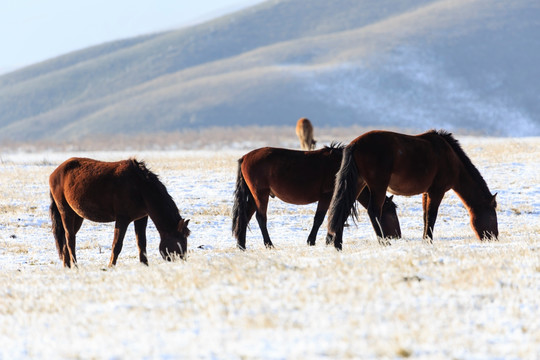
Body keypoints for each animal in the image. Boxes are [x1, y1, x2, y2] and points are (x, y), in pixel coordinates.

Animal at [48, 158, 191, 268]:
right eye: (181, 239)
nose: (183, 260)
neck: (140, 187)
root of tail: (55, 173)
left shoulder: (141, 218)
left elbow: (141, 243)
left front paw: (145, 265)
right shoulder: (123, 219)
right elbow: (117, 244)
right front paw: (111, 266)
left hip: (77, 215)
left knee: (66, 241)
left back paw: (67, 266)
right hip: (66, 211)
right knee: (70, 239)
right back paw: (76, 266)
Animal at [231, 142, 400, 249]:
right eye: (391, 212)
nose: (397, 236)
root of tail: (245, 157)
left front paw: (328, 240)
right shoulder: (326, 196)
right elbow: (319, 218)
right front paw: (313, 241)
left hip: (254, 196)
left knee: (245, 216)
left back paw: (241, 245)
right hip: (261, 194)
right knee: (261, 218)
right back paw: (268, 244)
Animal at [324, 129, 498, 250]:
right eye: (492, 215)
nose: (494, 238)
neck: (451, 158)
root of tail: (355, 144)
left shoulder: (427, 193)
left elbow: (426, 216)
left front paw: (426, 240)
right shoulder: (437, 191)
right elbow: (432, 216)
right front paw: (428, 240)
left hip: (358, 184)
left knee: (343, 209)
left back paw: (338, 245)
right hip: (377, 186)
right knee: (373, 211)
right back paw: (383, 242)